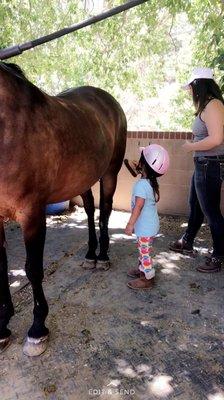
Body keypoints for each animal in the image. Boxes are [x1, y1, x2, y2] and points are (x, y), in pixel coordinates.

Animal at [0, 62, 126, 356]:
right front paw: (2, 326)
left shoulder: (32, 213)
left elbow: (33, 268)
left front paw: (37, 329)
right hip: (83, 178)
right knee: (90, 210)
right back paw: (90, 254)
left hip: (110, 172)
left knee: (104, 210)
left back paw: (103, 256)